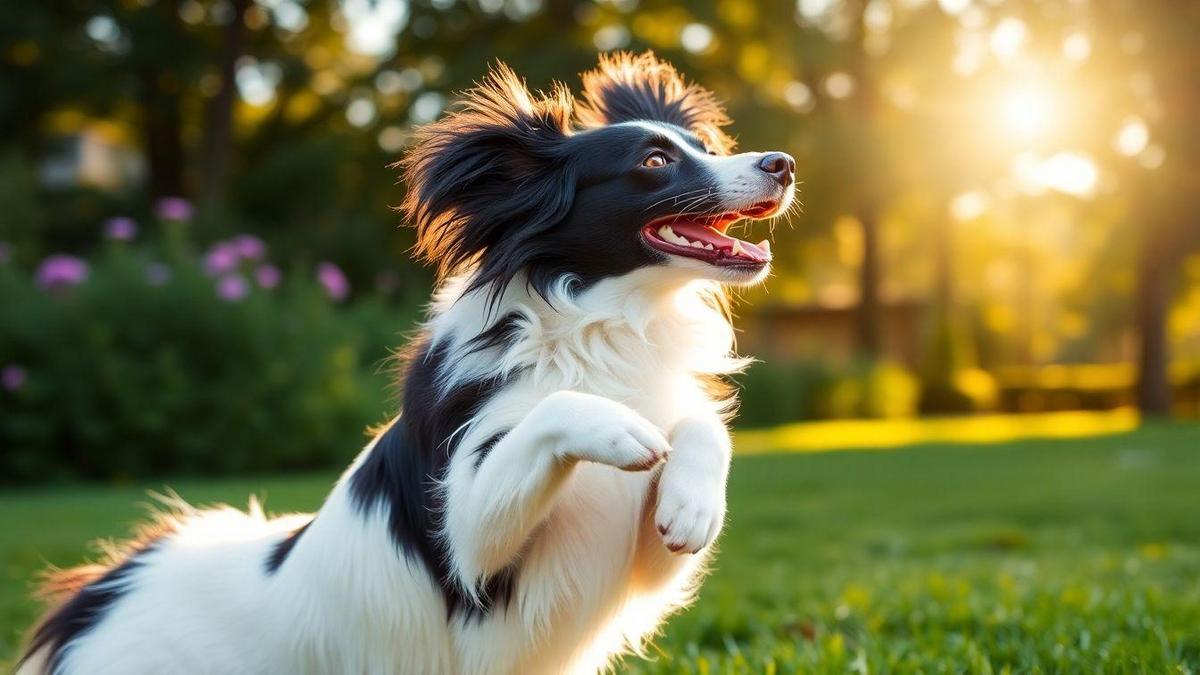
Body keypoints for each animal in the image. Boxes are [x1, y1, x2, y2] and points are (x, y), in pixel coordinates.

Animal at [18, 53, 796, 672]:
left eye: (703, 144)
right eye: (654, 162)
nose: (783, 163)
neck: (604, 325)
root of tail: (90, 608)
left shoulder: (644, 562)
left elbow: (700, 430)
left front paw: (693, 502)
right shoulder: (468, 541)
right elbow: (554, 409)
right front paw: (621, 427)